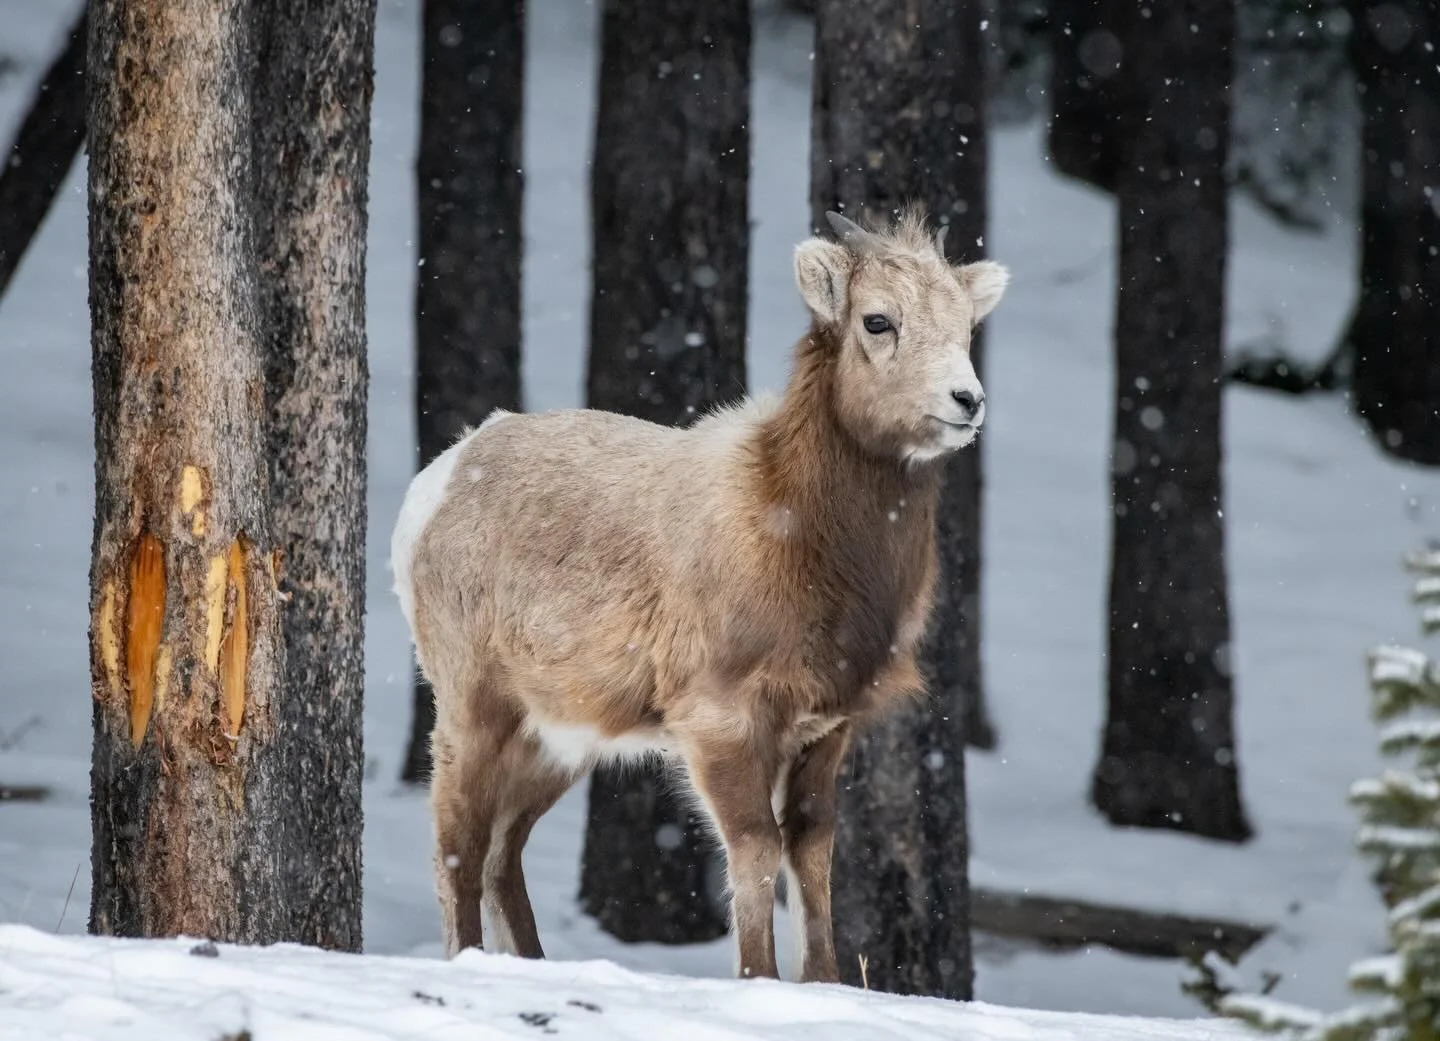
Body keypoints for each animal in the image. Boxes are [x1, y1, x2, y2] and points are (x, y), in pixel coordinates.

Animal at [390, 208, 1009, 983]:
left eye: (965, 324)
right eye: (877, 320)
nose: (967, 401)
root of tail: (431, 489)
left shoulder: (827, 724)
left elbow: (811, 850)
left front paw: (824, 982)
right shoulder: (719, 714)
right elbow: (755, 848)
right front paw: (758, 979)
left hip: (560, 735)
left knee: (505, 848)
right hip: (472, 699)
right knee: (457, 841)